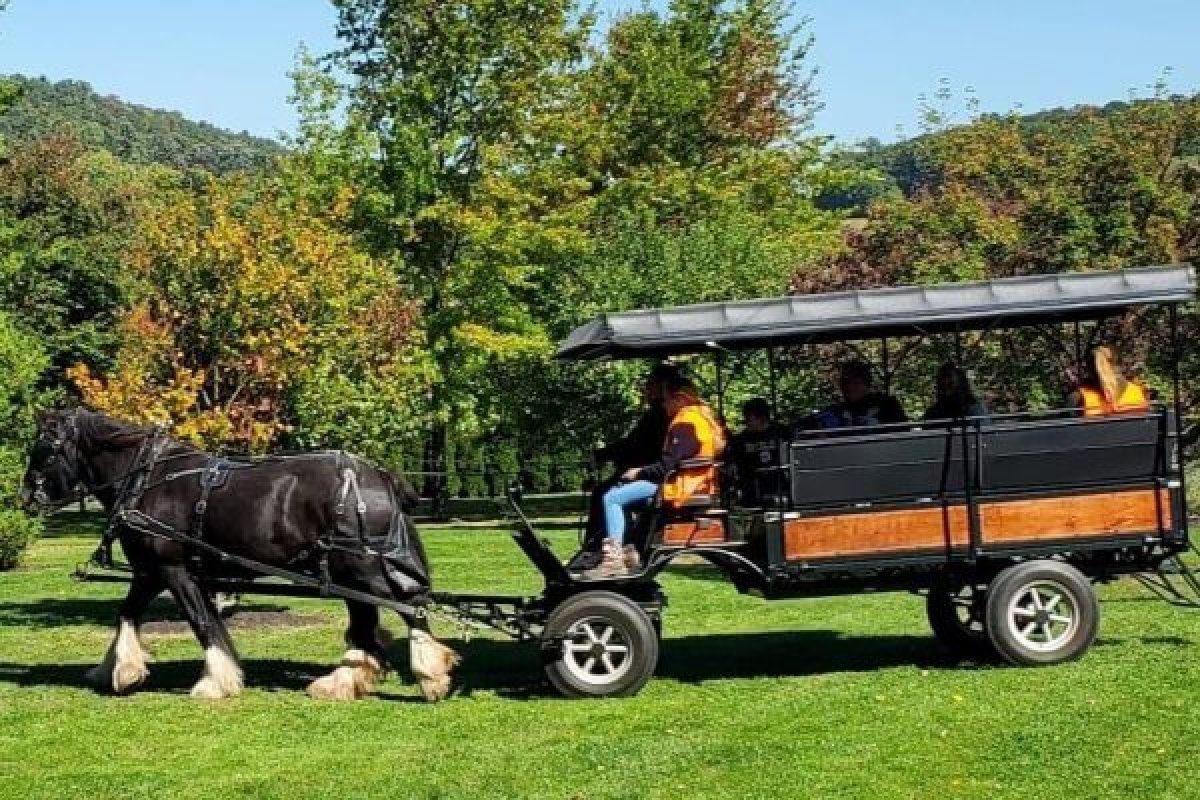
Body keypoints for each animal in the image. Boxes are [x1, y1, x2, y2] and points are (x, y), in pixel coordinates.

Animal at [18, 410, 458, 705]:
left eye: (43, 450)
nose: (25, 498)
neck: (146, 479)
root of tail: (381, 476)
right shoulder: (149, 572)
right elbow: (127, 614)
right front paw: (116, 669)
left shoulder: (174, 570)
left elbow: (203, 624)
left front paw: (215, 681)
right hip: (345, 573)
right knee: (367, 624)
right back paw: (341, 682)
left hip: (361, 568)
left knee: (410, 608)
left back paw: (430, 674)